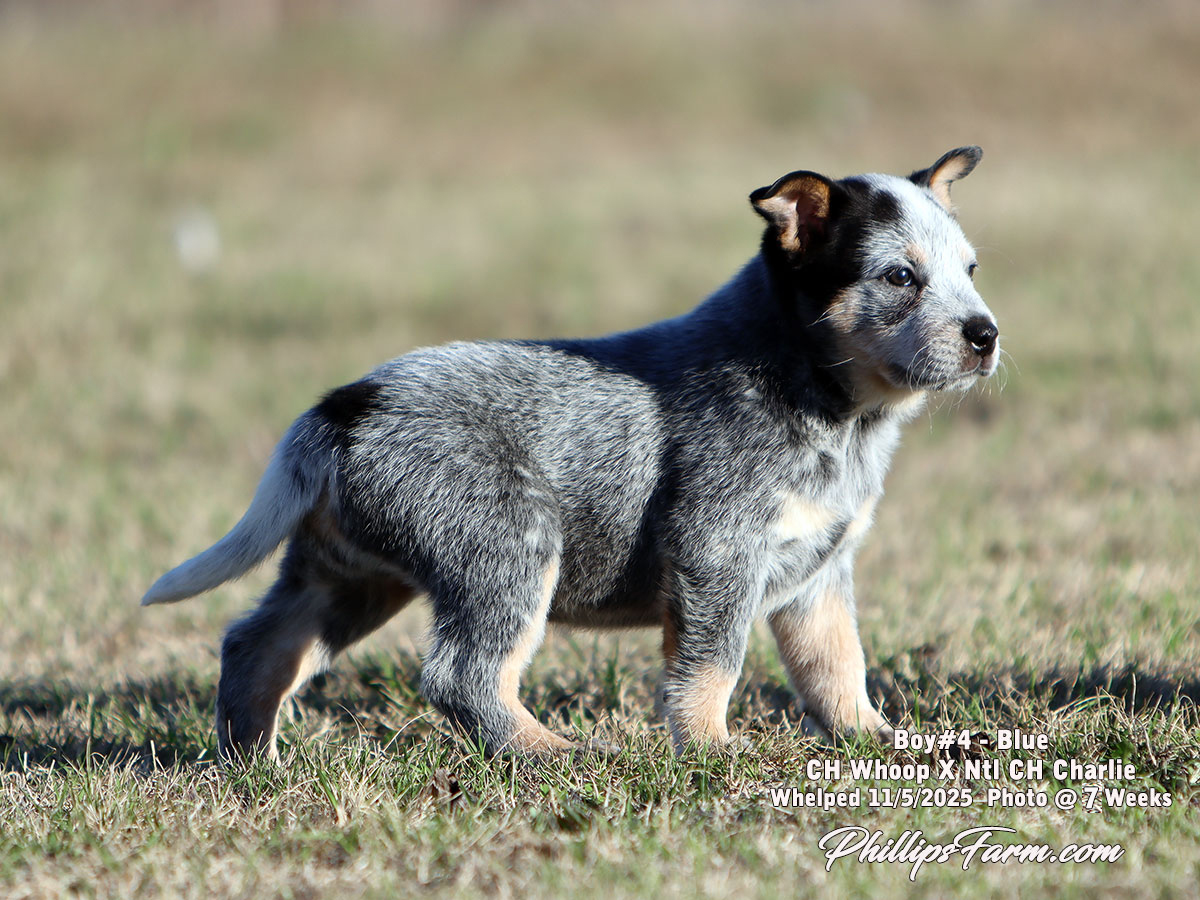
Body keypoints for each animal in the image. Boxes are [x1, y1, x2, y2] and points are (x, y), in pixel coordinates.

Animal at [143, 148, 999, 761]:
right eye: (900, 276)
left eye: (971, 269)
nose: (986, 334)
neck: (830, 408)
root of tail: (346, 404)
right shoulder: (718, 554)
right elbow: (712, 666)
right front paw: (712, 752)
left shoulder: (818, 573)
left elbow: (838, 667)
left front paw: (876, 739)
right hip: (508, 547)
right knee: (462, 675)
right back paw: (551, 752)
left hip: (346, 576)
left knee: (257, 645)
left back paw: (253, 764)